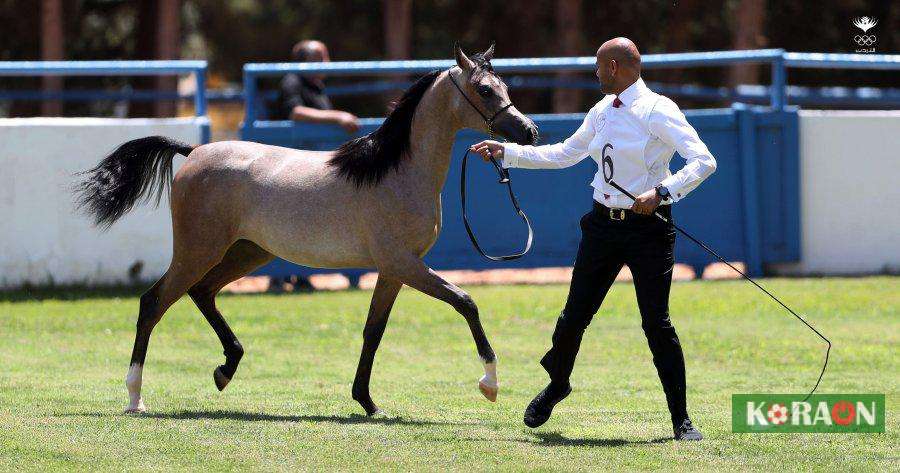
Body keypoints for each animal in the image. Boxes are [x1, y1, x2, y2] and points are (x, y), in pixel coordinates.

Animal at [75, 43, 536, 412]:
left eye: (504, 86)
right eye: (485, 90)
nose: (528, 131)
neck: (395, 171)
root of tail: (194, 152)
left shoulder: (393, 270)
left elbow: (373, 331)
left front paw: (367, 402)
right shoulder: (404, 264)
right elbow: (465, 302)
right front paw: (490, 384)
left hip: (248, 251)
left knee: (201, 293)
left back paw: (225, 369)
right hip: (199, 250)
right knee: (153, 303)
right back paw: (135, 396)